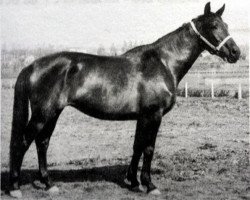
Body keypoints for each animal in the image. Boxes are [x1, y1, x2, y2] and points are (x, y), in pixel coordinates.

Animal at [9, 2, 240, 198]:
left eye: (226, 25)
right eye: (213, 25)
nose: (235, 52)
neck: (163, 63)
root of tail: (32, 66)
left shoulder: (142, 117)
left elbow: (137, 146)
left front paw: (133, 182)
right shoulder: (153, 115)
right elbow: (148, 148)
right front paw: (149, 185)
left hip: (53, 113)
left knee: (42, 142)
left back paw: (48, 184)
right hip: (43, 114)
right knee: (23, 142)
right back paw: (15, 187)